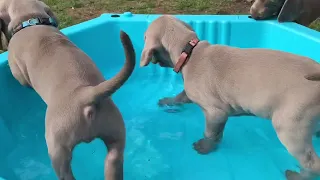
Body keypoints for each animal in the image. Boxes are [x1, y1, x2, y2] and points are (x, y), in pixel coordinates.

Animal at [0, 0, 136, 179]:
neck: (30, 19)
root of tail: (86, 94)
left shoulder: (17, 70)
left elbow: (22, 80)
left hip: (57, 147)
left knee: (65, 172)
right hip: (114, 135)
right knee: (114, 160)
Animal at [141, 14, 320, 179]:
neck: (190, 52)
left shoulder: (215, 113)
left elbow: (209, 134)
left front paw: (205, 147)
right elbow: (180, 98)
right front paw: (167, 101)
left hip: (289, 126)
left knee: (312, 163)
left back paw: (297, 175)